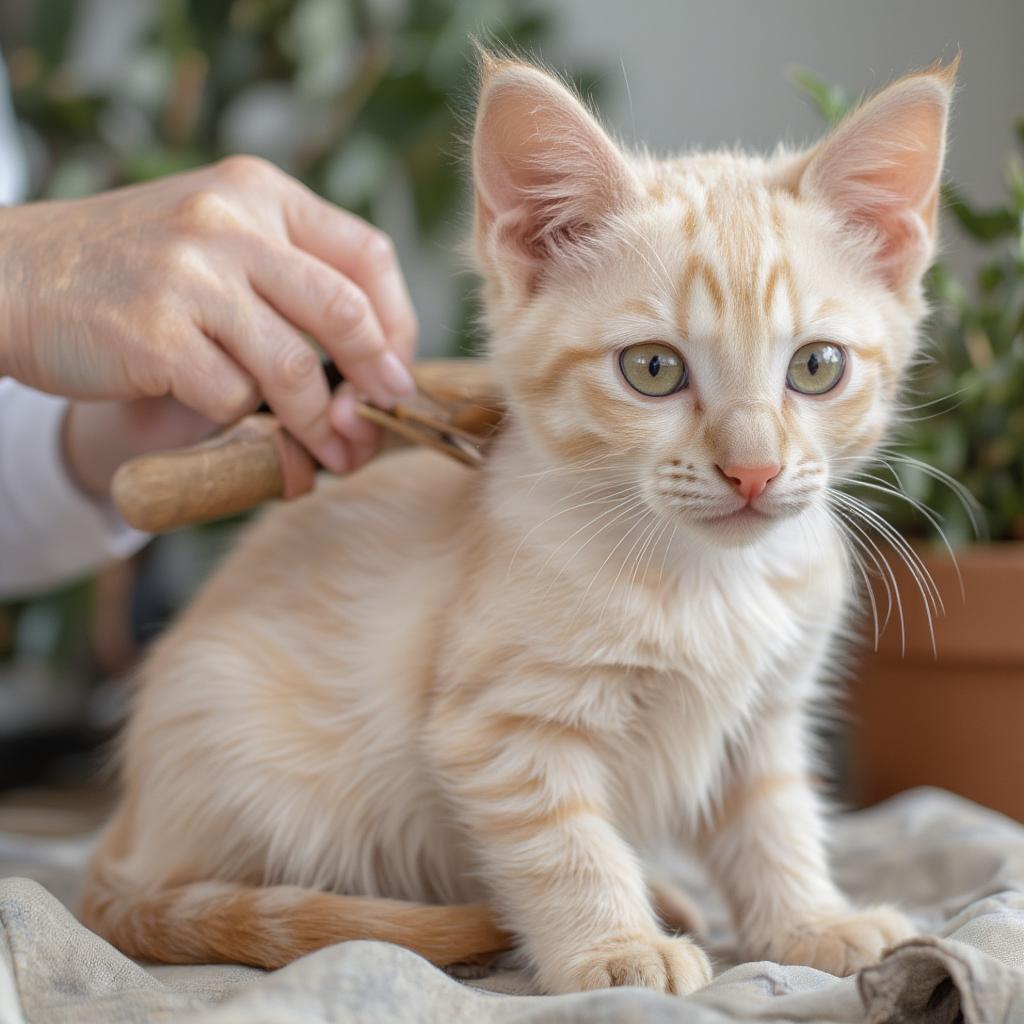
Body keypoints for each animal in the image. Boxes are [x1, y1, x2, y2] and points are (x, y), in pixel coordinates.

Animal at [79, 51, 950, 995]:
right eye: (652, 369)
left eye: (817, 366)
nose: (752, 470)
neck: (706, 577)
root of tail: (120, 840)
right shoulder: (501, 727)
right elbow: (564, 843)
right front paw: (616, 949)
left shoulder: (767, 716)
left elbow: (774, 820)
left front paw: (809, 921)